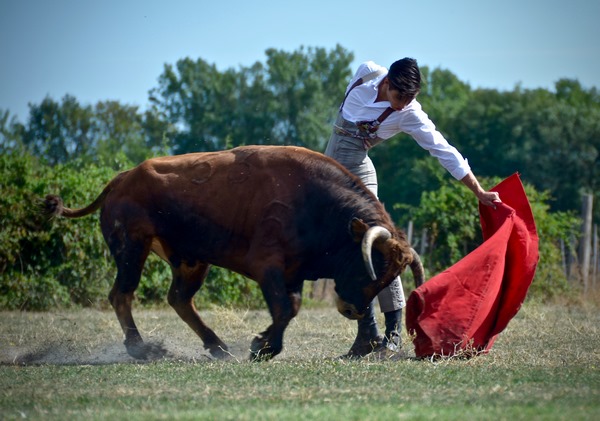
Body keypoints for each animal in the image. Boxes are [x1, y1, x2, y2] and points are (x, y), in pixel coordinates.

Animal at [42, 146, 422, 360]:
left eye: (391, 276)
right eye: (370, 265)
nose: (352, 309)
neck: (315, 201)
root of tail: (121, 179)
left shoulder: (293, 273)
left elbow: (291, 307)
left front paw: (262, 345)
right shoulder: (268, 266)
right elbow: (285, 308)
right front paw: (262, 348)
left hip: (191, 261)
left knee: (179, 299)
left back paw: (217, 347)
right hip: (131, 248)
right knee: (122, 294)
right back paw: (143, 349)